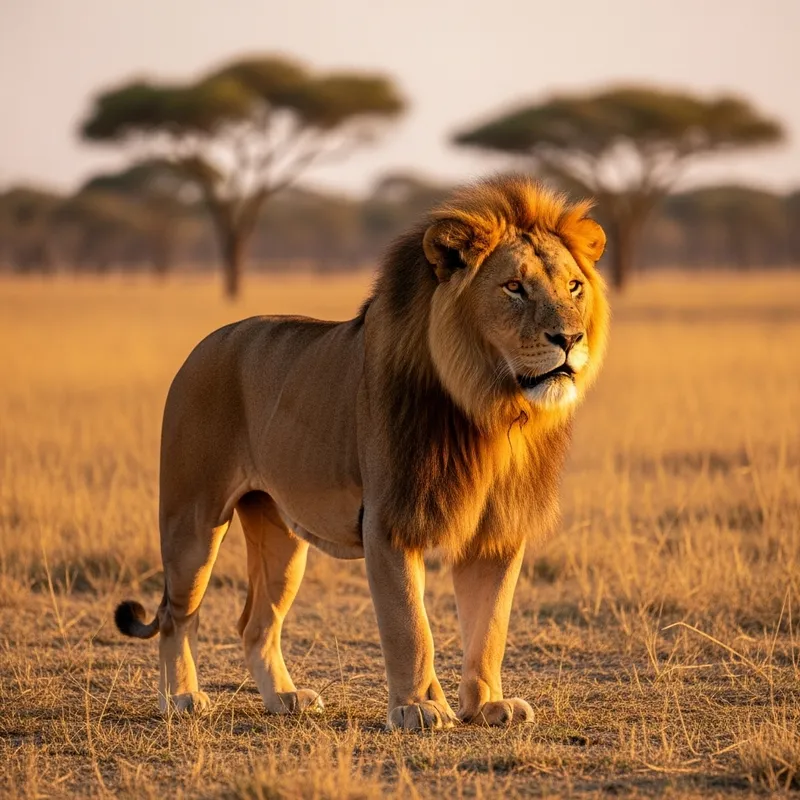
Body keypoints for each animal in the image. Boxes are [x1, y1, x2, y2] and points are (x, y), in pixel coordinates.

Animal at [115, 174, 609, 730]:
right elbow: (409, 625)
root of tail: (203, 345)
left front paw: (486, 705)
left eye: (574, 286)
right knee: (176, 614)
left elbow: (490, 627)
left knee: (255, 623)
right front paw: (419, 707)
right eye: (514, 287)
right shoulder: (389, 521)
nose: (570, 337)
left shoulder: (497, 531)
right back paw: (181, 697)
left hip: (280, 534)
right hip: (193, 519)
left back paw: (284, 699)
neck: (492, 410)